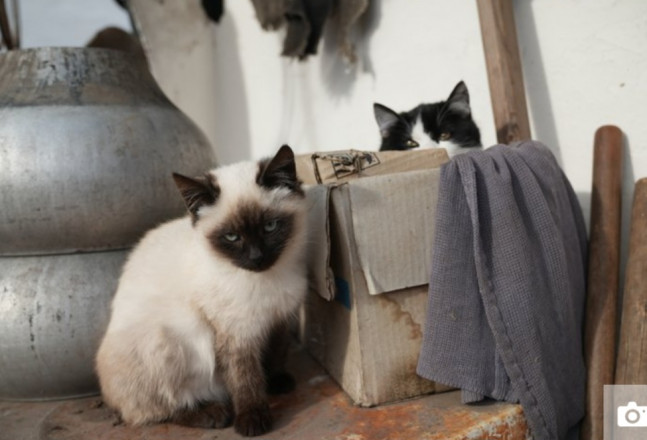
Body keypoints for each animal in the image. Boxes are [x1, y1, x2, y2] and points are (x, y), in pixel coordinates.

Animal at [95, 145, 308, 437]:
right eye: (231, 237)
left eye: (270, 227)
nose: (256, 257)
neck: (268, 278)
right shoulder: (235, 333)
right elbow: (245, 378)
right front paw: (252, 420)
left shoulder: (279, 319)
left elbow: (276, 352)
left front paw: (276, 381)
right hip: (166, 340)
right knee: (153, 411)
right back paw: (213, 414)